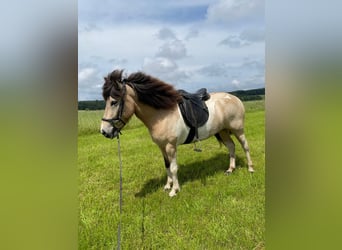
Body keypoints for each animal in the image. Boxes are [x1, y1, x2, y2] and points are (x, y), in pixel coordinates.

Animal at [100, 69, 252, 196]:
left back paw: (250, 168)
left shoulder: (170, 146)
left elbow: (173, 168)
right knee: (231, 146)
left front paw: (174, 190)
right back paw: (230, 169)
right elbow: (167, 165)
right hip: (223, 131)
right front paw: (168, 185)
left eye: (113, 102)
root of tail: (234, 98)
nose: (104, 131)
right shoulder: (161, 147)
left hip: (237, 129)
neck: (162, 114)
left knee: (245, 146)